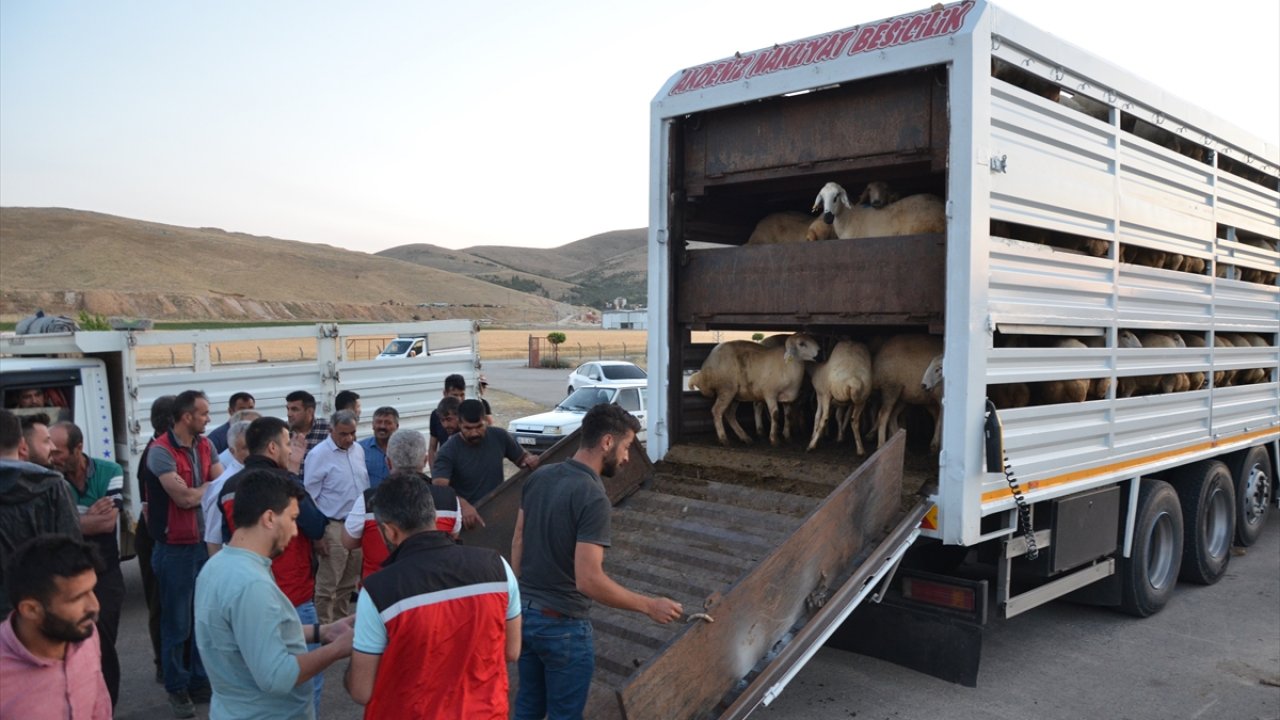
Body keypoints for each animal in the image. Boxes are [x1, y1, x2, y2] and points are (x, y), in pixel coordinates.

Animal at [691, 330, 819, 443]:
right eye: (801, 344)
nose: (819, 354)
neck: (788, 366)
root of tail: (707, 364)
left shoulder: (787, 397)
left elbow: (788, 415)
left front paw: (787, 437)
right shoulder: (770, 394)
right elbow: (775, 414)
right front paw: (774, 439)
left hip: (736, 394)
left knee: (729, 414)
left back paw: (745, 437)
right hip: (726, 389)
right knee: (717, 411)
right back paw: (724, 439)